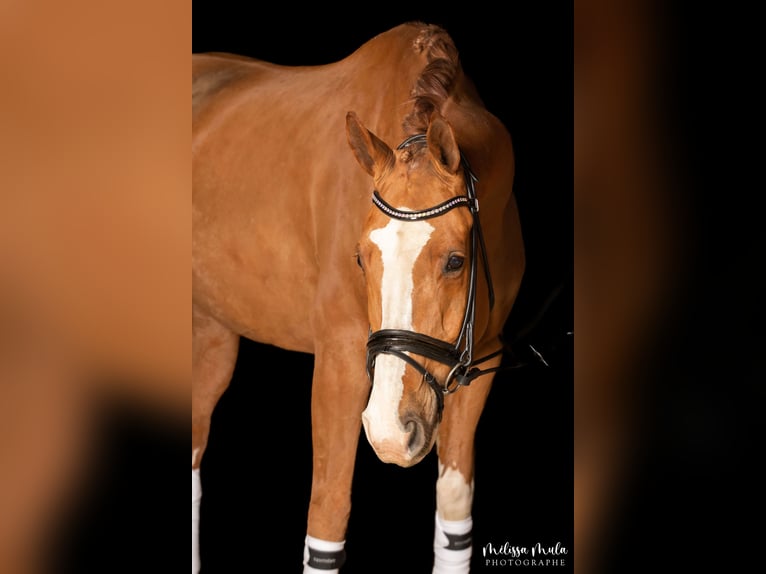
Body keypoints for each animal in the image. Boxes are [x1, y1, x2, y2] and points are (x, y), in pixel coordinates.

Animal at [194, 22, 528, 574]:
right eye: (359, 259)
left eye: (456, 261)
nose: (392, 430)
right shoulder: (339, 363)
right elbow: (327, 519)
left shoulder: (482, 362)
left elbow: (454, 512)